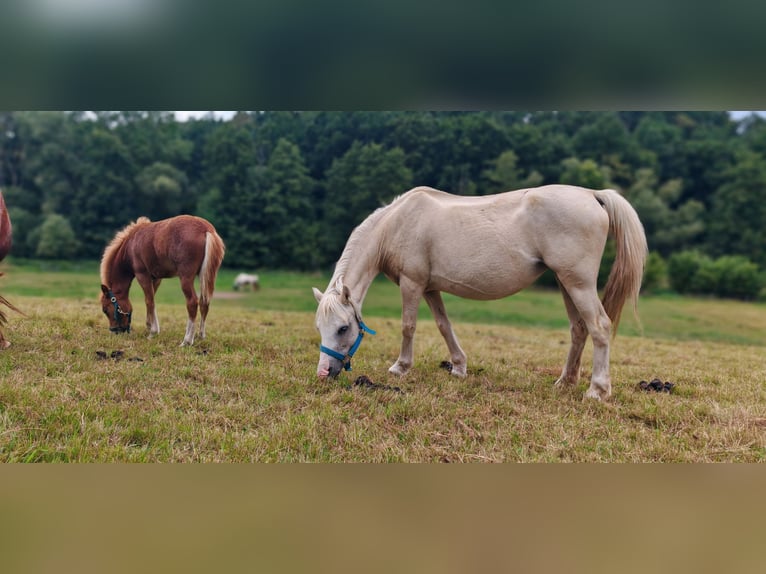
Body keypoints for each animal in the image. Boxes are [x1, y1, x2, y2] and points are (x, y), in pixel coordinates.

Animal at [100, 215, 225, 346]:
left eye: (105, 310)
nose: (114, 331)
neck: (131, 245)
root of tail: (206, 229)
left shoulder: (142, 275)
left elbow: (149, 301)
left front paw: (153, 332)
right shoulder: (156, 278)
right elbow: (151, 300)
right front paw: (149, 327)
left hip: (186, 278)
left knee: (192, 302)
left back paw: (186, 341)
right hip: (206, 276)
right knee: (204, 302)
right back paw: (201, 336)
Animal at [313, 185, 647, 401]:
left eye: (343, 327)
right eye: (320, 327)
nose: (324, 372)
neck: (396, 224)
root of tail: (592, 194)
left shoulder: (412, 283)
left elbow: (408, 326)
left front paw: (400, 367)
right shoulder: (430, 288)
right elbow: (444, 326)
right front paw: (459, 368)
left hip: (579, 283)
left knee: (599, 326)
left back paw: (597, 390)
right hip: (567, 284)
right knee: (579, 329)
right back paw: (565, 382)